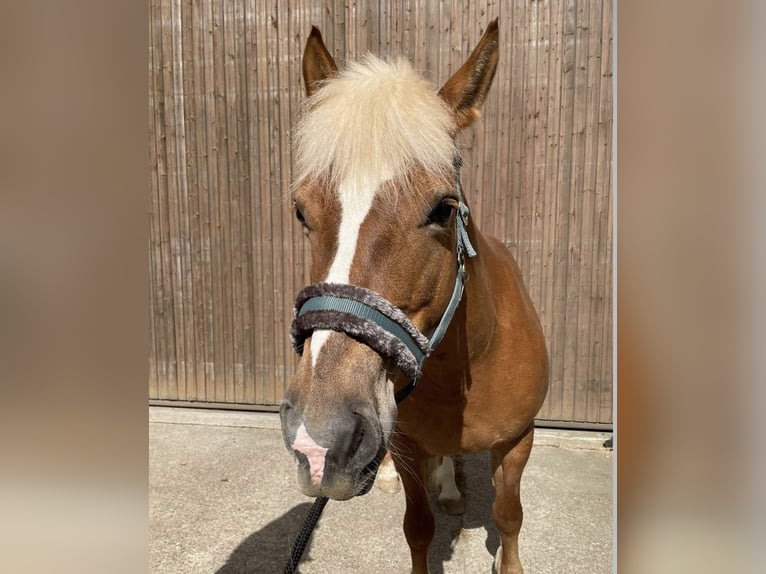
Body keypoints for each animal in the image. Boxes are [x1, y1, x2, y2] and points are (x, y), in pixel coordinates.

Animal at [280, 19, 548, 574]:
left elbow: (508, 514)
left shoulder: (518, 442)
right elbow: (418, 527)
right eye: (300, 210)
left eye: (443, 208)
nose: (318, 438)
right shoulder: (405, 445)